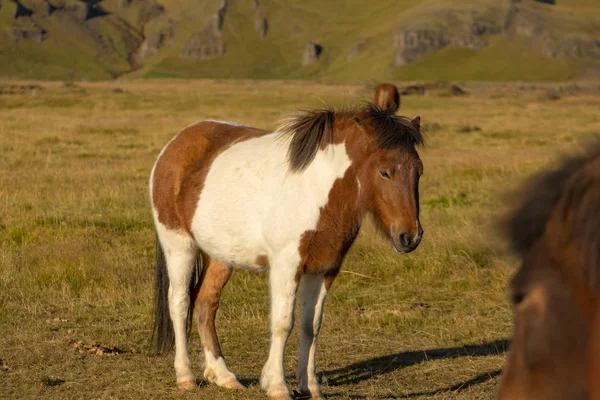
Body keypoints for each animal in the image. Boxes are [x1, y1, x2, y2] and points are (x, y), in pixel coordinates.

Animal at [148, 104, 424, 400]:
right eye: (384, 172)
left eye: (419, 171)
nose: (410, 236)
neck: (315, 190)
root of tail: (175, 144)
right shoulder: (286, 267)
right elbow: (282, 323)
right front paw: (277, 385)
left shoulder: (325, 268)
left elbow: (311, 326)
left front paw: (310, 386)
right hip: (179, 246)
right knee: (179, 303)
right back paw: (185, 376)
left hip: (220, 256)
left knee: (205, 303)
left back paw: (223, 375)